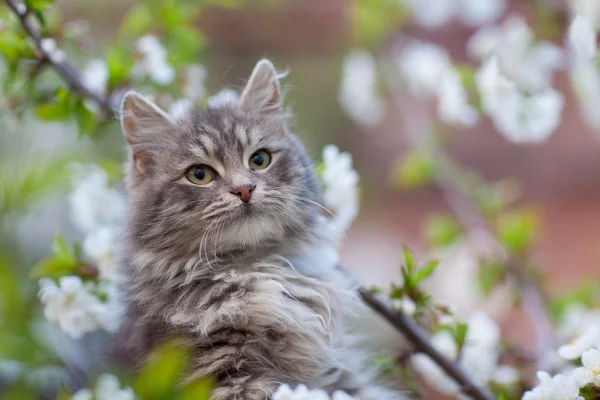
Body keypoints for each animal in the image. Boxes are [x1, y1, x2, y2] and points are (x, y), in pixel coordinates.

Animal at [112, 59, 404, 400]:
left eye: (260, 160)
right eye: (199, 174)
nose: (244, 189)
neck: (252, 269)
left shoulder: (341, 374)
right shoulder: (222, 374)